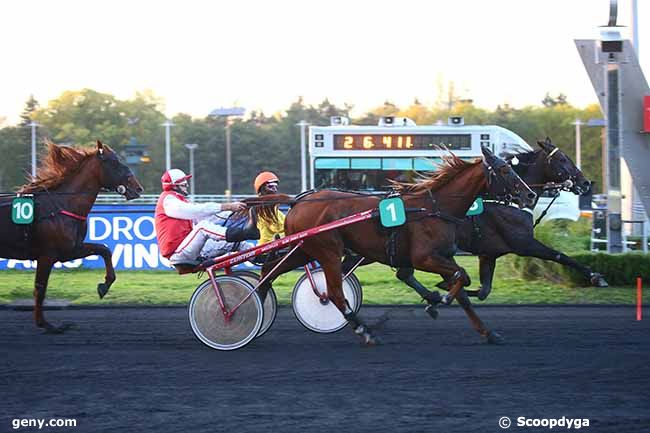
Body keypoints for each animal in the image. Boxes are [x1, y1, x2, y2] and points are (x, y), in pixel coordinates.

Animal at [0, 140, 142, 332]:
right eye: (115, 162)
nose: (138, 188)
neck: (61, 206)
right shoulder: (47, 255)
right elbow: (40, 288)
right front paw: (46, 324)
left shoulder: (70, 250)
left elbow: (104, 250)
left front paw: (104, 285)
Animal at [256, 147, 536, 346]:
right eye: (504, 170)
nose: (530, 195)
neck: (434, 208)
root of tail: (298, 201)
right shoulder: (424, 257)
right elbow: (462, 276)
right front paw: (440, 297)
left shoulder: (443, 256)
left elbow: (463, 291)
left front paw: (487, 332)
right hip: (328, 252)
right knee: (334, 293)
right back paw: (365, 331)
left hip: (304, 250)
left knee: (269, 270)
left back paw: (255, 311)